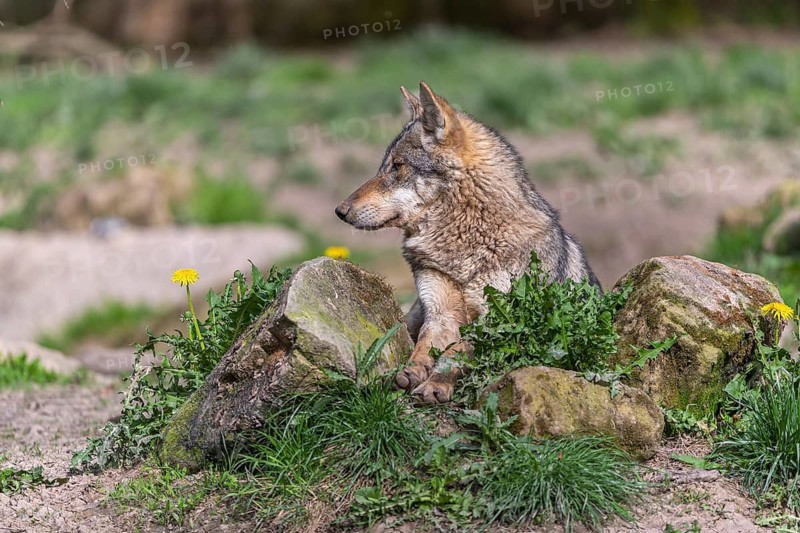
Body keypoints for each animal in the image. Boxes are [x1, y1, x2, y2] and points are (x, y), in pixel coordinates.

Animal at [335, 82, 599, 404]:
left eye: (397, 166)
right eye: (384, 166)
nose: (340, 211)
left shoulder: (496, 319)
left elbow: (457, 352)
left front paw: (436, 384)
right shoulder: (440, 313)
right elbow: (424, 346)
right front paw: (412, 371)